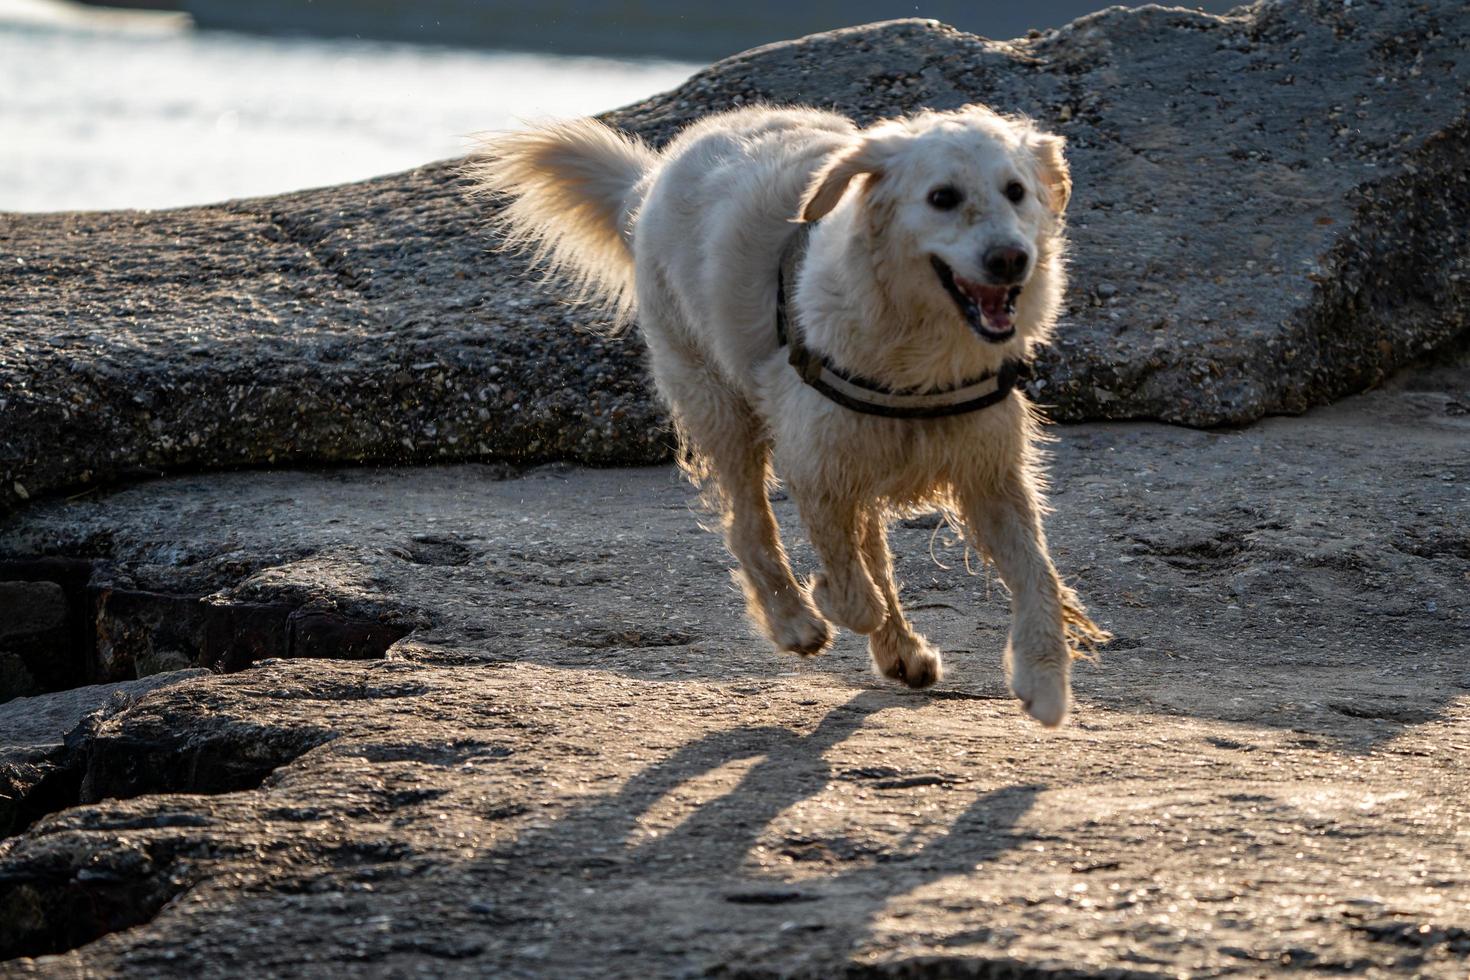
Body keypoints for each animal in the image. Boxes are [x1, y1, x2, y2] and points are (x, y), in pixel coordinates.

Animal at [476, 107, 1105, 725]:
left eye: (1016, 191)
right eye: (942, 197)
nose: (1011, 259)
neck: (917, 349)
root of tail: (653, 175)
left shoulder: (989, 470)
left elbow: (1036, 572)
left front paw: (1044, 681)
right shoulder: (815, 464)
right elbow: (852, 589)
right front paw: (824, 597)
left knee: (869, 547)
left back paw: (900, 651)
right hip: (720, 404)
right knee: (750, 525)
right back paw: (794, 621)